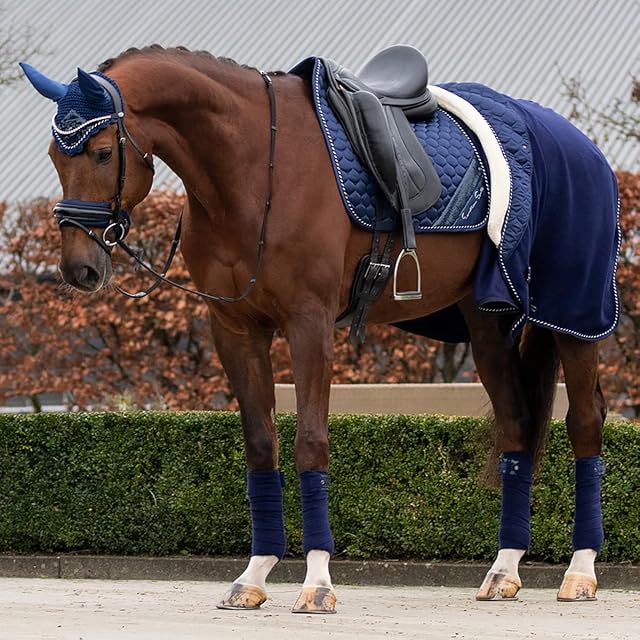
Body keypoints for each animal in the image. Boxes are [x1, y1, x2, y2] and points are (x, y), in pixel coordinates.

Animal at [21, 44, 620, 611]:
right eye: (53, 155)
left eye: (102, 152)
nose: (79, 269)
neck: (254, 165)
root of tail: (580, 144)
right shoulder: (235, 329)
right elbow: (262, 445)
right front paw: (254, 576)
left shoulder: (309, 324)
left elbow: (310, 442)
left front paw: (317, 582)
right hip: (488, 324)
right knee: (517, 426)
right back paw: (504, 570)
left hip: (573, 318)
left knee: (585, 422)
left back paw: (581, 572)